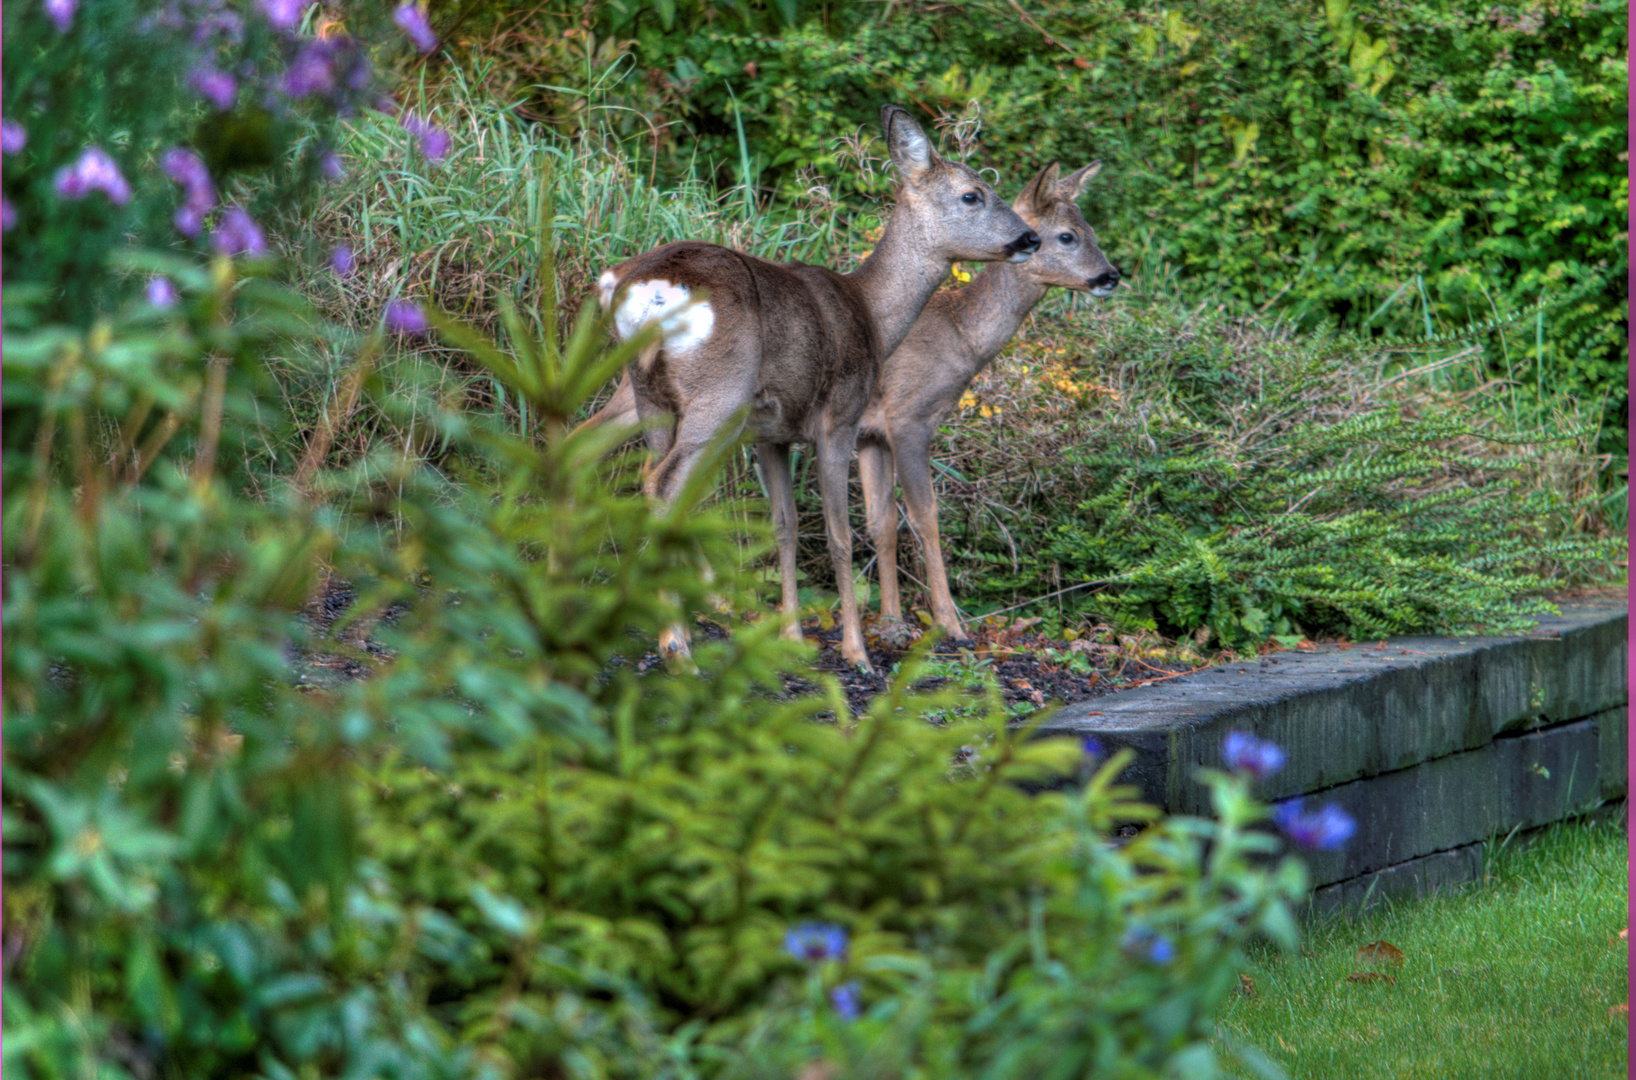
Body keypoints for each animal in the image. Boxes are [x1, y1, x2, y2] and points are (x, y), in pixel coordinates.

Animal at [595, 105, 1040, 670]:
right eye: (972, 194)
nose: (1030, 238)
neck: (873, 312)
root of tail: (641, 286)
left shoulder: (771, 433)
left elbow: (784, 526)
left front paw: (790, 636)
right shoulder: (839, 418)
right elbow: (840, 534)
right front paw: (856, 650)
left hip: (651, 395)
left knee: (647, 476)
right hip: (718, 394)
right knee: (662, 483)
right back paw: (677, 644)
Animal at [863, 157, 1119, 641]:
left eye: (1092, 229)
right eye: (1067, 236)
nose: (1111, 276)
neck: (960, 334)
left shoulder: (871, 435)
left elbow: (881, 522)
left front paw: (891, 623)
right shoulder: (908, 417)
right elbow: (926, 518)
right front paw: (951, 626)